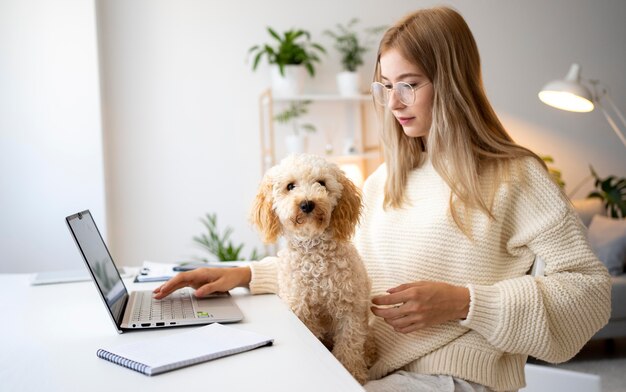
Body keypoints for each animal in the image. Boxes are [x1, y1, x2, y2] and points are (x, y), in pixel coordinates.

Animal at [250, 153, 376, 382]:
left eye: (322, 183)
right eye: (290, 186)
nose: (307, 204)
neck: (315, 255)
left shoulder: (350, 311)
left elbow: (349, 347)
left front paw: (353, 374)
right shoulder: (302, 311)